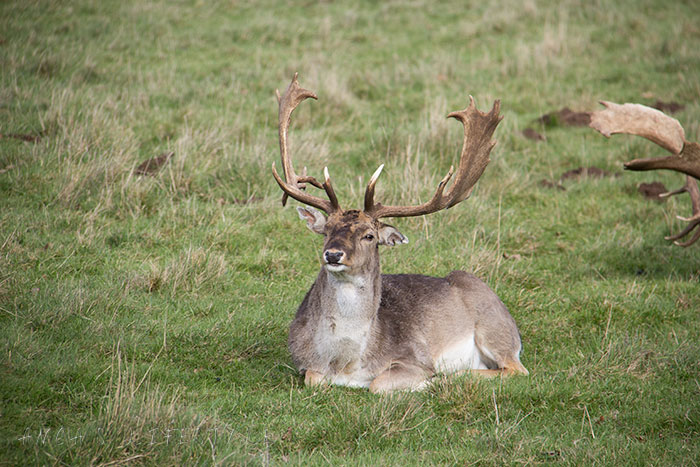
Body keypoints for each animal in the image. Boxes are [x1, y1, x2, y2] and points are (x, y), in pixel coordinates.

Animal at [270, 74, 528, 394]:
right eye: (326, 229)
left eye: (369, 236)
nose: (333, 254)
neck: (345, 362)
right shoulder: (305, 364)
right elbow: (314, 379)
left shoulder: (413, 355)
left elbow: (378, 384)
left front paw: (427, 382)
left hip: (495, 329)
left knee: (516, 369)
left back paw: (452, 376)